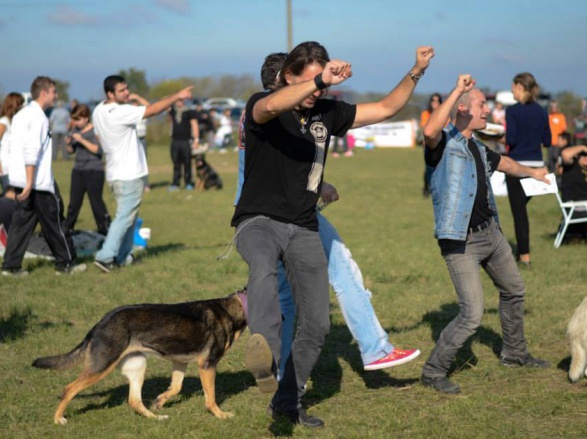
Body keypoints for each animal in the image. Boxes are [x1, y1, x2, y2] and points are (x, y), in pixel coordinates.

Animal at [32, 289, 248, 425]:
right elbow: (211, 397)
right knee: (69, 389)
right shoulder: (207, 364)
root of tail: (99, 324)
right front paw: (221, 415)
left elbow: (176, 387)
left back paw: (157, 418)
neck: (235, 307)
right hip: (102, 366)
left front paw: (160, 402)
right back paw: (58, 419)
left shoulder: (180, 361)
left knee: (134, 400)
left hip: (137, 366)